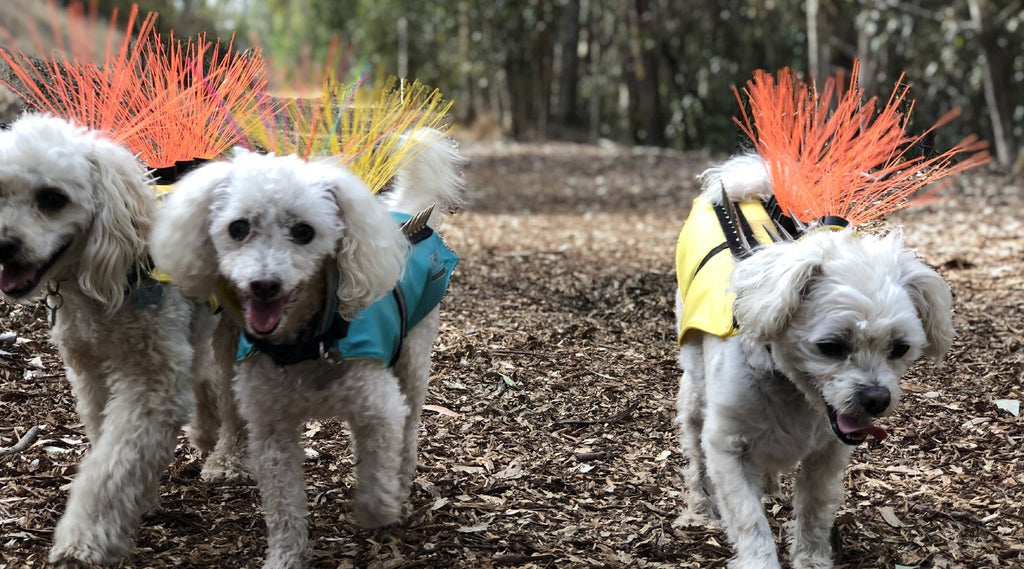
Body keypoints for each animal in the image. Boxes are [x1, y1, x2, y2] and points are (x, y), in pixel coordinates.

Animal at [0, 114, 222, 564]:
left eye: (52, 199)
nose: (1, 245)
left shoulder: (152, 385)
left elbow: (113, 464)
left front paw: (84, 539)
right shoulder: (91, 375)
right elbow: (113, 443)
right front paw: (143, 496)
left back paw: (230, 461)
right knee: (205, 379)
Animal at [150, 134, 464, 569]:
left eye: (304, 231)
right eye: (238, 228)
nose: (264, 284)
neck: (302, 345)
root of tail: (404, 216)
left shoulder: (380, 409)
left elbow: (378, 468)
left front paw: (379, 509)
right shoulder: (272, 430)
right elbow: (284, 507)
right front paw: (285, 557)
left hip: (412, 361)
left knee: (409, 429)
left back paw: (401, 484)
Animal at [675, 154, 954, 569]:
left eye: (899, 347)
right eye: (831, 346)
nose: (876, 399)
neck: (791, 390)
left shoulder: (828, 453)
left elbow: (814, 511)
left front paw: (811, 559)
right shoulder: (726, 447)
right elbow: (749, 520)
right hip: (695, 392)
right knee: (695, 452)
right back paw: (698, 508)